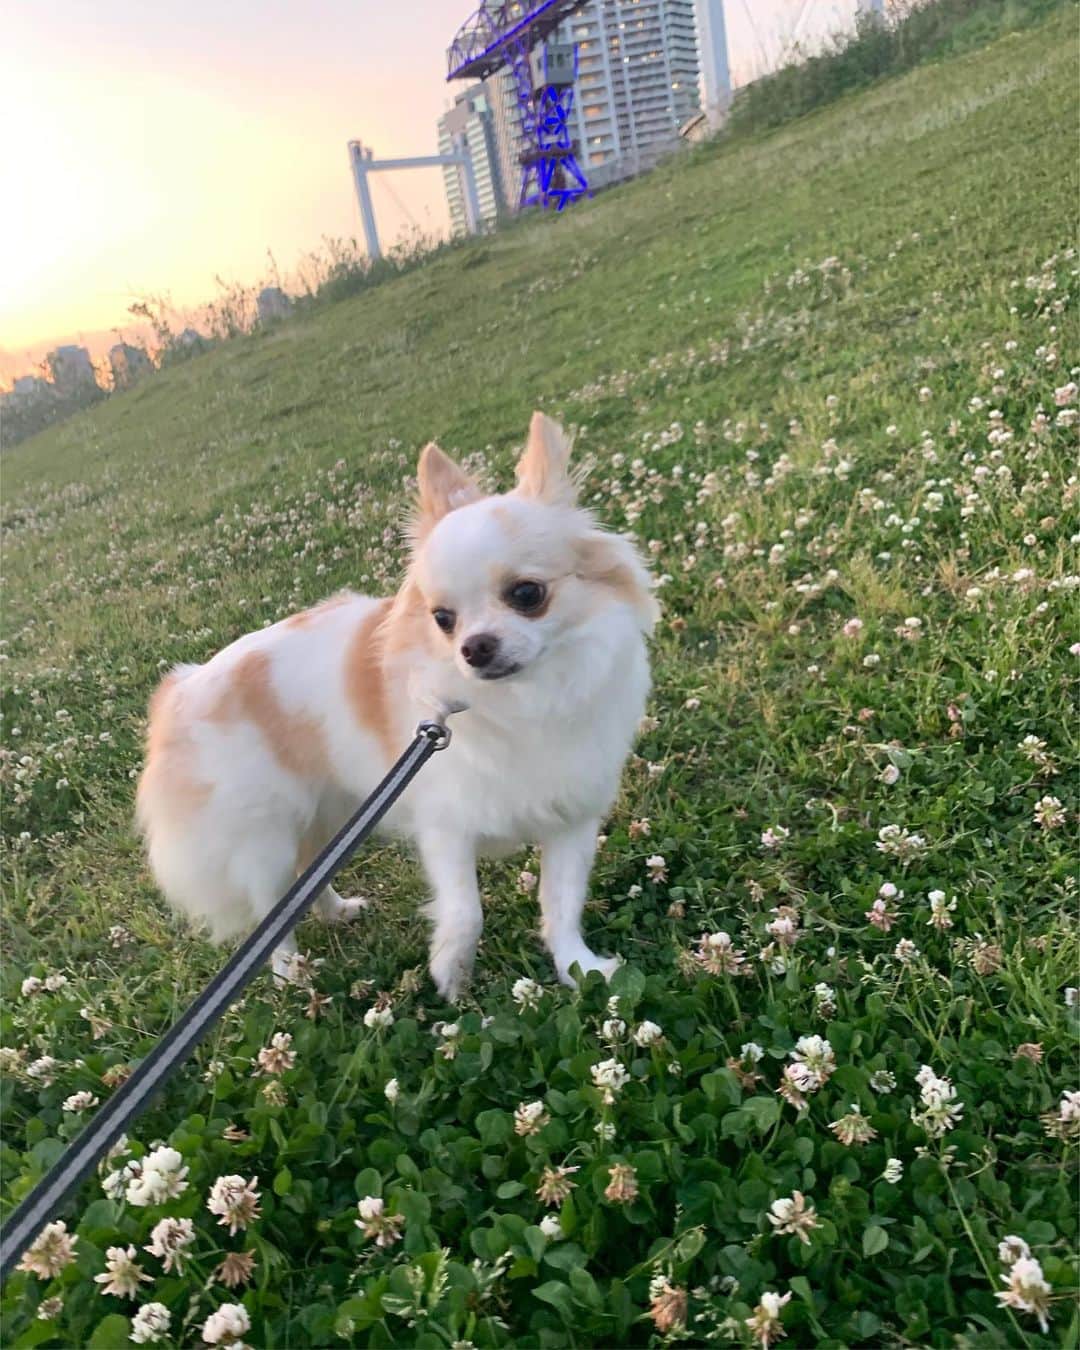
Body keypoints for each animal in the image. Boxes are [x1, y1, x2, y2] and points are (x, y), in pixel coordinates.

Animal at [136, 412, 657, 998]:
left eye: (527, 594)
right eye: (442, 619)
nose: (474, 648)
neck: (529, 698)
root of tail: (179, 691)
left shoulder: (570, 819)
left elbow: (562, 905)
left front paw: (578, 968)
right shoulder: (446, 826)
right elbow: (466, 910)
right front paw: (452, 975)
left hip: (331, 812)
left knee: (305, 879)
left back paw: (335, 913)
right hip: (263, 836)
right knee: (273, 908)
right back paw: (291, 974)